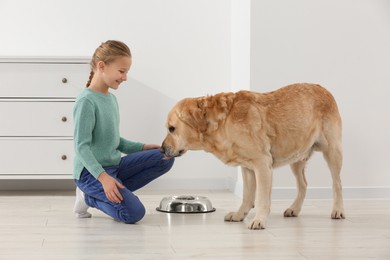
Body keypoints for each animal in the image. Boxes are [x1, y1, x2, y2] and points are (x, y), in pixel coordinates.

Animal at [161, 83, 344, 230]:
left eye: (171, 128)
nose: (162, 149)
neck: (223, 123)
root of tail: (323, 89)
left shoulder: (262, 164)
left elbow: (261, 198)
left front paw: (259, 220)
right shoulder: (247, 168)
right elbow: (247, 196)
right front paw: (239, 215)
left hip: (332, 151)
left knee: (337, 184)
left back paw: (338, 210)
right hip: (296, 156)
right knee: (303, 184)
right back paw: (294, 208)